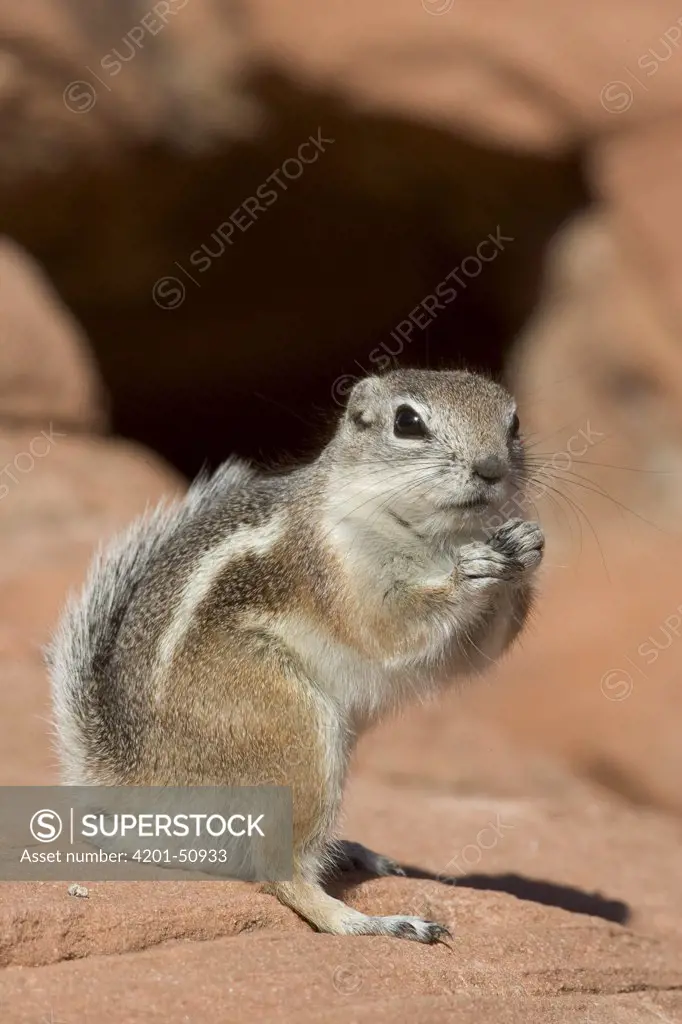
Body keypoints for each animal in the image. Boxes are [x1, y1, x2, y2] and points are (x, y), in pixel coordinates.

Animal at [47, 366, 540, 942]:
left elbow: (473, 651)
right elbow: (388, 628)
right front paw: (470, 572)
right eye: (408, 422)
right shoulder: (334, 570)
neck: (431, 538)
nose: (492, 469)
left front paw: (526, 545)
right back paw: (369, 922)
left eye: (514, 422)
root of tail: (131, 781)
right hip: (292, 727)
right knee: (280, 873)